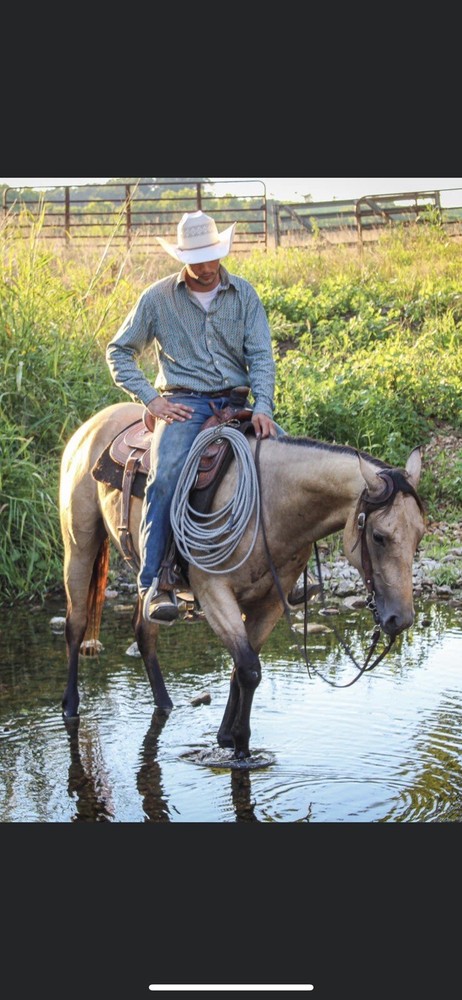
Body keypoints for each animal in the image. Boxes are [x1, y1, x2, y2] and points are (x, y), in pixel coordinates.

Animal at [59, 401, 426, 759]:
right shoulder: (214, 593)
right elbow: (249, 667)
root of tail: (92, 425)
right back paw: (70, 706)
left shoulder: (272, 600)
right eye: (378, 537)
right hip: (79, 544)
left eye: (420, 535)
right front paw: (240, 747)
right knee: (76, 624)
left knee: (145, 632)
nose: (401, 619)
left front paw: (226, 737)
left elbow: (242, 667)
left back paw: (165, 703)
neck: (270, 504)